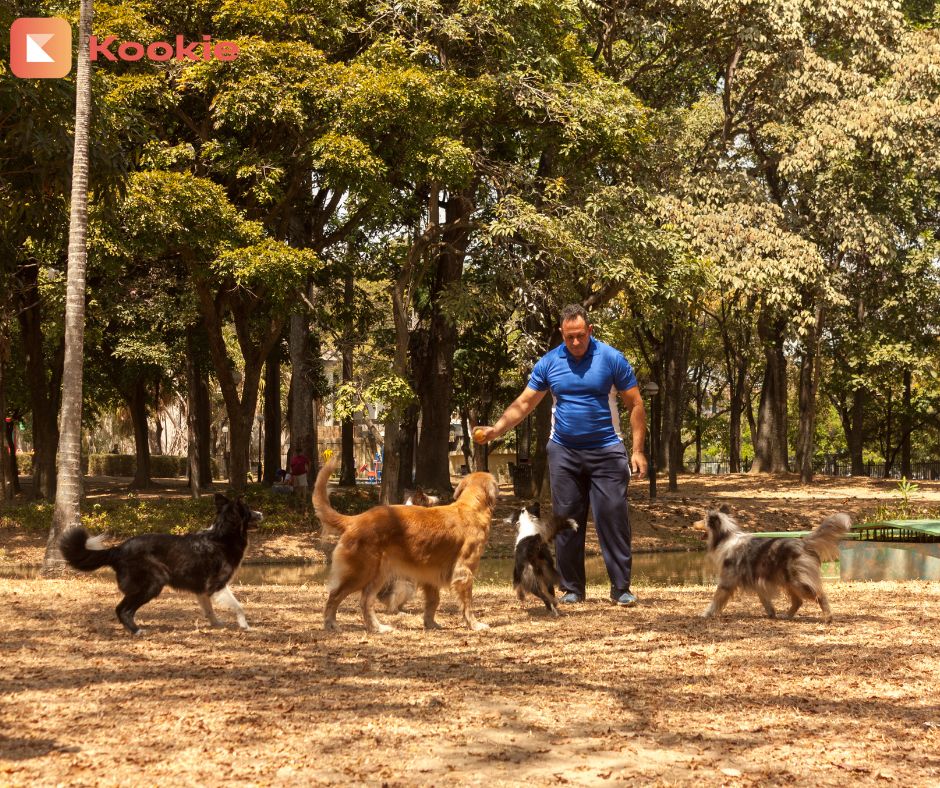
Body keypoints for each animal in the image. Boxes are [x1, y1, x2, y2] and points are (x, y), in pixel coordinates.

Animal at [61, 496, 260, 636]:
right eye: (249, 509)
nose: (262, 513)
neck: (222, 535)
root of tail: (118, 549)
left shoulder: (202, 589)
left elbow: (209, 610)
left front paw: (216, 624)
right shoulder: (217, 585)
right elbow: (239, 607)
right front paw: (245, 626)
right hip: (154, 582)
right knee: (123, 609)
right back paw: (137, 631)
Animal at [314, 456, 500, 636]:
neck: (470, 507)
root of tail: (356, 519)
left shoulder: (430, 573)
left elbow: (433, 601)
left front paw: (430, 624)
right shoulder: (464, 572)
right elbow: (467, 603)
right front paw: (474, 625)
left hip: (378, 575)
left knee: (365, 602)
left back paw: (378, 628)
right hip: (361, 573)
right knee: (334, 596)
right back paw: (331, 624)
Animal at [692, 508, 852, 624]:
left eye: (703, 519)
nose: (692, 523)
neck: (723, 538)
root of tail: (803, 542)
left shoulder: (726, 581)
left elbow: (715, 600)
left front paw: (706, 614)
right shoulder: (756, 581)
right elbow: (765, 600)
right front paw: (771, 613)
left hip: (798, 582)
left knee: (820, 595)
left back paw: (828, 618)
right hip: (788, 581)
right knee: (798, 601)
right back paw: (786, 616)